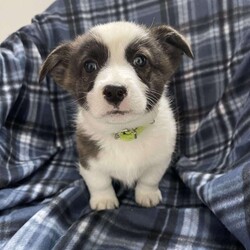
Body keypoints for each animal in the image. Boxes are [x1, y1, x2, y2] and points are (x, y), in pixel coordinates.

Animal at [39, 21, 193, 210]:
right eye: (89, 66)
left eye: (140, 60)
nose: (114, 91)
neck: (125, 132)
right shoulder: (89, 162)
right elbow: (99, 182)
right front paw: (104, 200)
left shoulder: (160, 159)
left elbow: (149, 179)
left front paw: (147, 195)